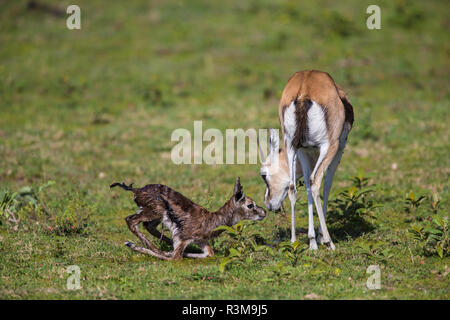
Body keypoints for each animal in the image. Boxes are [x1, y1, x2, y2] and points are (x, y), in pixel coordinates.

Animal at [109, 178, 266, 260]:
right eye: (250, 205)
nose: (264, 212)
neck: (210, 221)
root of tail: (137, 190)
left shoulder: (202, 243)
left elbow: (209, 254)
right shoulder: (182, 240)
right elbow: (175, 257)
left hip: (156, 216)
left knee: (148, 227)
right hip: (154, 212)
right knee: (130, 220)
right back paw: (140, 246)